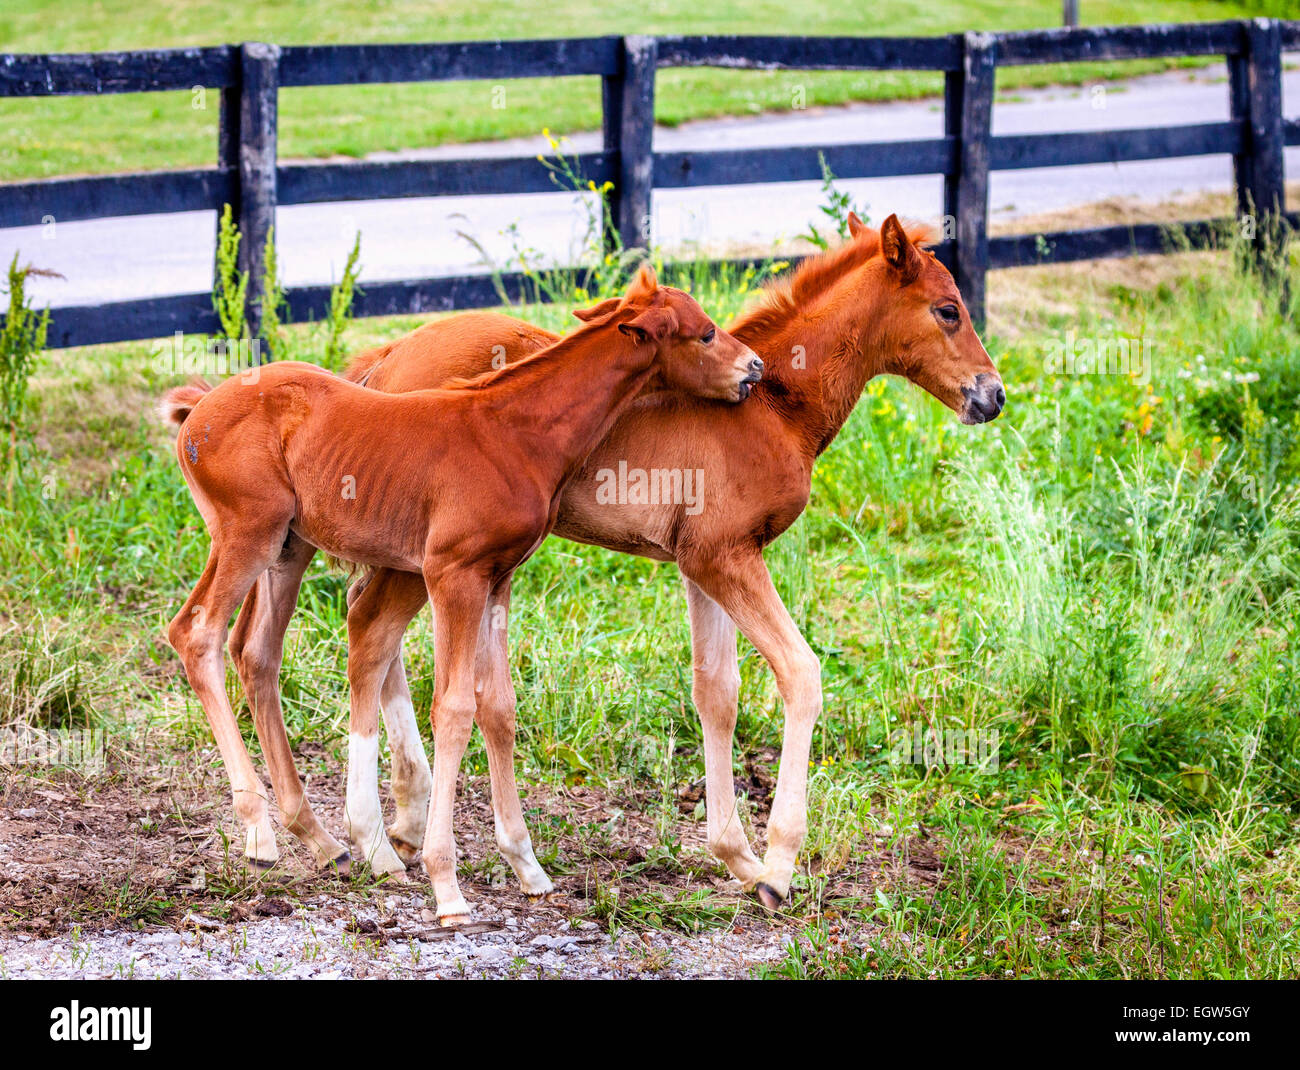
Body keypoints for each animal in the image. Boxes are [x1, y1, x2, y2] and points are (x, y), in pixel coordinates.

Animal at [159, 265, 759, 920]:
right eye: (706, 333)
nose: (753, 369)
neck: (515, 430)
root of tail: (198, 410)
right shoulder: (453, 575)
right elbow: (452, 709)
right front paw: (446, 884)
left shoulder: (498, 579)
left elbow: (498, 706)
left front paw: (526, 865)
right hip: (248, 533)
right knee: (196, 634)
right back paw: (261, 831)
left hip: (288, 548)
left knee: (256, 652)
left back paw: (322, 841)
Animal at [226, 211, 1003, 910]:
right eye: (948, 310)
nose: (991, 396)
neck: (775, 405)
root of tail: (381, 363)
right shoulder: (726, 557)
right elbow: (800, 674)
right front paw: (778, 866)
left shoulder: (703, 565)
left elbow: (717, 693)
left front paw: (737, 857)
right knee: (369, 632)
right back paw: (386, 829)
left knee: (368, 634)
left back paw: (402, 824)